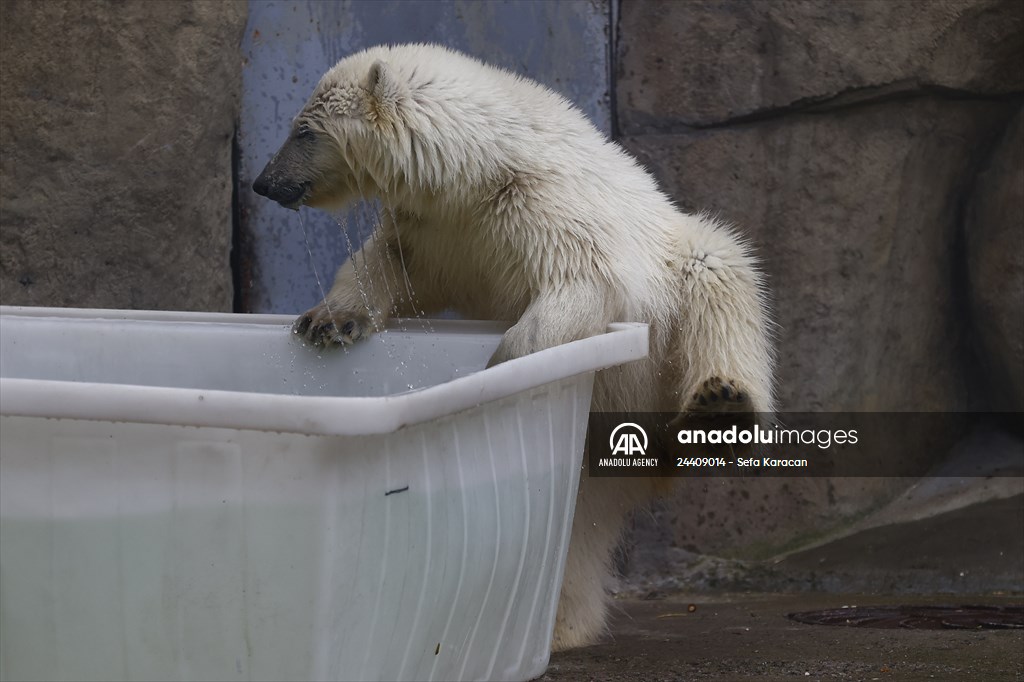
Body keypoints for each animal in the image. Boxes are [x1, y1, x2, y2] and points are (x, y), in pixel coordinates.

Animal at [252, 43, 775, 651]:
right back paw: (559, 625)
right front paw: (330, 321)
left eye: (304, 130)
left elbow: (579, 281)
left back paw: (722, 405)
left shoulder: (541, 202)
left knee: (720, 277)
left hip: (675, 296)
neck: (479, 168)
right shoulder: (438, 228)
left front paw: (498, 372)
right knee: (578, 518)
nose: (264, 182)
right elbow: (387, 265)